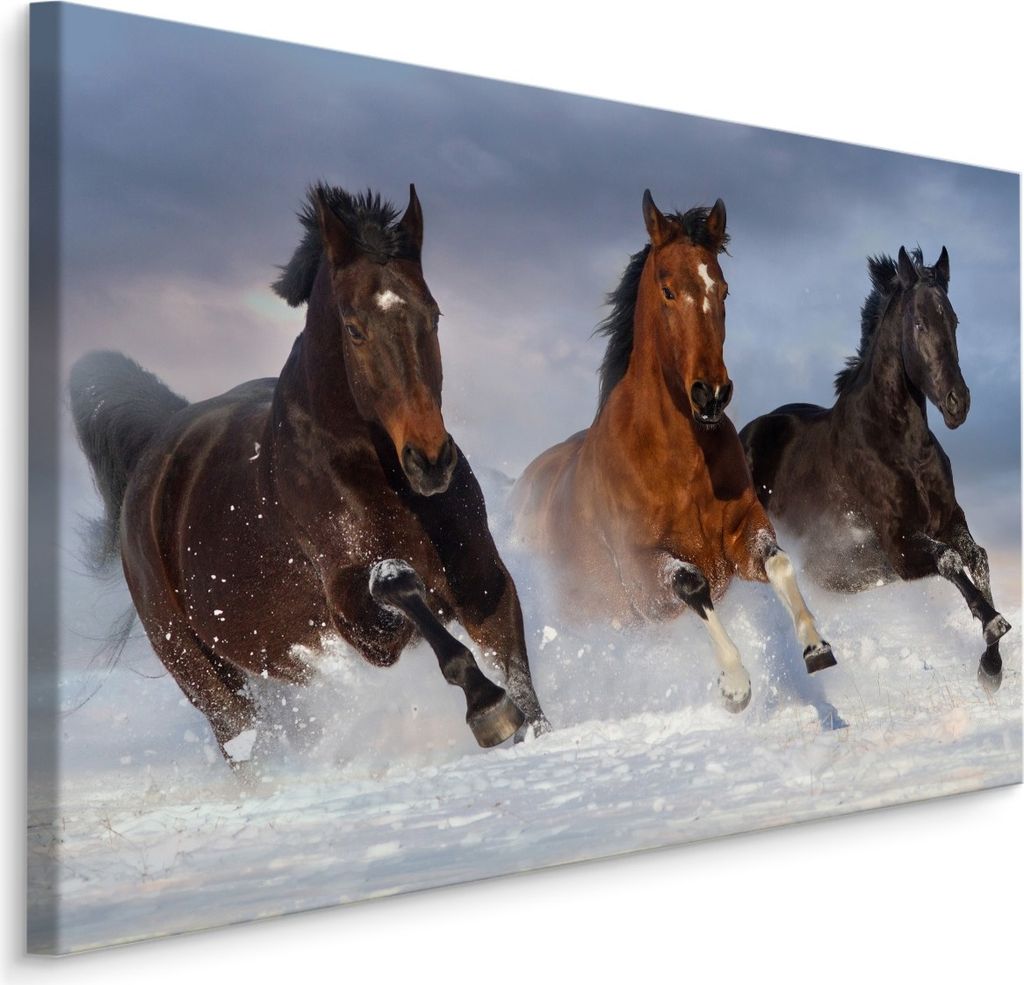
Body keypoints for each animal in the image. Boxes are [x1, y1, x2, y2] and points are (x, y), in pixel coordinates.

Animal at [69, 182, 550, 770]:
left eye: (433, 315)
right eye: (354, 328)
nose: (431, 460)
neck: (374, 475)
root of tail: (156, 453)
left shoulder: (481, 577)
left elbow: (518, 673)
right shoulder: (360, 624)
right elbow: (399, 583)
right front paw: (487, 709)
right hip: (206, 679)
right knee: (242, 742)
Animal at [510, 190, 836, 713]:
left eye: (723, 290)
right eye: (667, 290)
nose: (712, 394)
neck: (679, 462)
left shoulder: (742, 536)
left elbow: (779, 562)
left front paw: (815, 646)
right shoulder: (645, 576)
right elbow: (692, 584)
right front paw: (735, 685)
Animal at [739, 246, 1011, 691]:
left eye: (954, 320)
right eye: (919, 322)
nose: (958, 403)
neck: (900, 446)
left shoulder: (948, 519)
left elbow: (978, 557)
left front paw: (991, 666)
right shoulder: (897, 541)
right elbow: (950, 560)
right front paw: (993, 624)